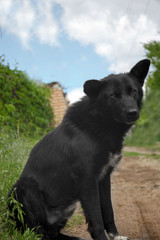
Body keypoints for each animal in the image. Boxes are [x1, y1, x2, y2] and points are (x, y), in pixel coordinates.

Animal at [8, 58, 150, 240]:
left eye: (133, 91)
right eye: (113, 95)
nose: (133, 112)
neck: (100, 122)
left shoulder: (104, 179)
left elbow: (108, 211)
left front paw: (115, 235)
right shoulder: (88, 181)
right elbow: (96, 218)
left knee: (52, 233)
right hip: (21, 191)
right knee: (39, 232)